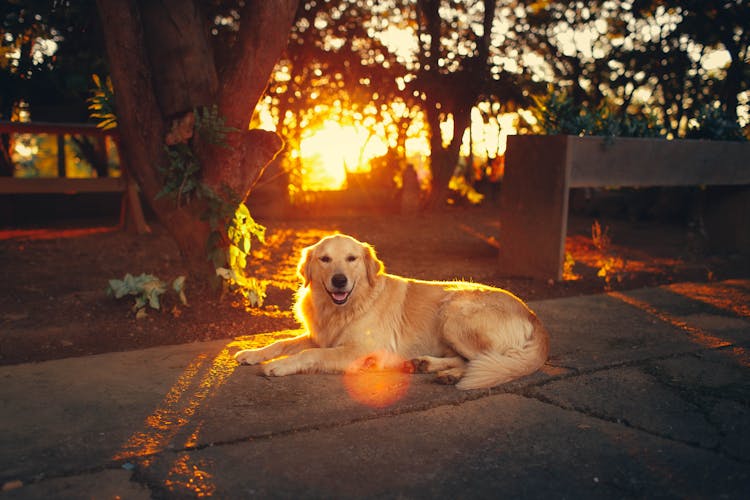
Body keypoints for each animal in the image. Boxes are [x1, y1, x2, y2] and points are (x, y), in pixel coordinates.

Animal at [236, 234, 552, 390]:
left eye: (351, 259)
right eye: (325, 259)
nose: (339, 280)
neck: (348, 305)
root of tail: (533, 315)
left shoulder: (360, 350)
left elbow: (308, 353)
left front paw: (280, 366)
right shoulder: (321, 335)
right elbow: (283, 342)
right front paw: (253, 353)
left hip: (454, 313)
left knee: (486, 359)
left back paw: (448, 374)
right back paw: (427, 365)